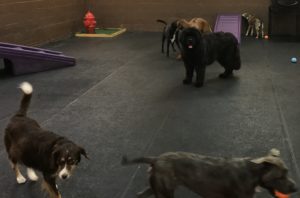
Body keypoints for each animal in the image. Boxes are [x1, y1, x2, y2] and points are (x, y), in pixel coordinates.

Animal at [122, 149, 298, 197]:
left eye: (287, 172)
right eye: (280, 176)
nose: (296, 188)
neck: (252, 173)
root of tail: (156, 158)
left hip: (157, 187)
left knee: (140, 194)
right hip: (165, 191)